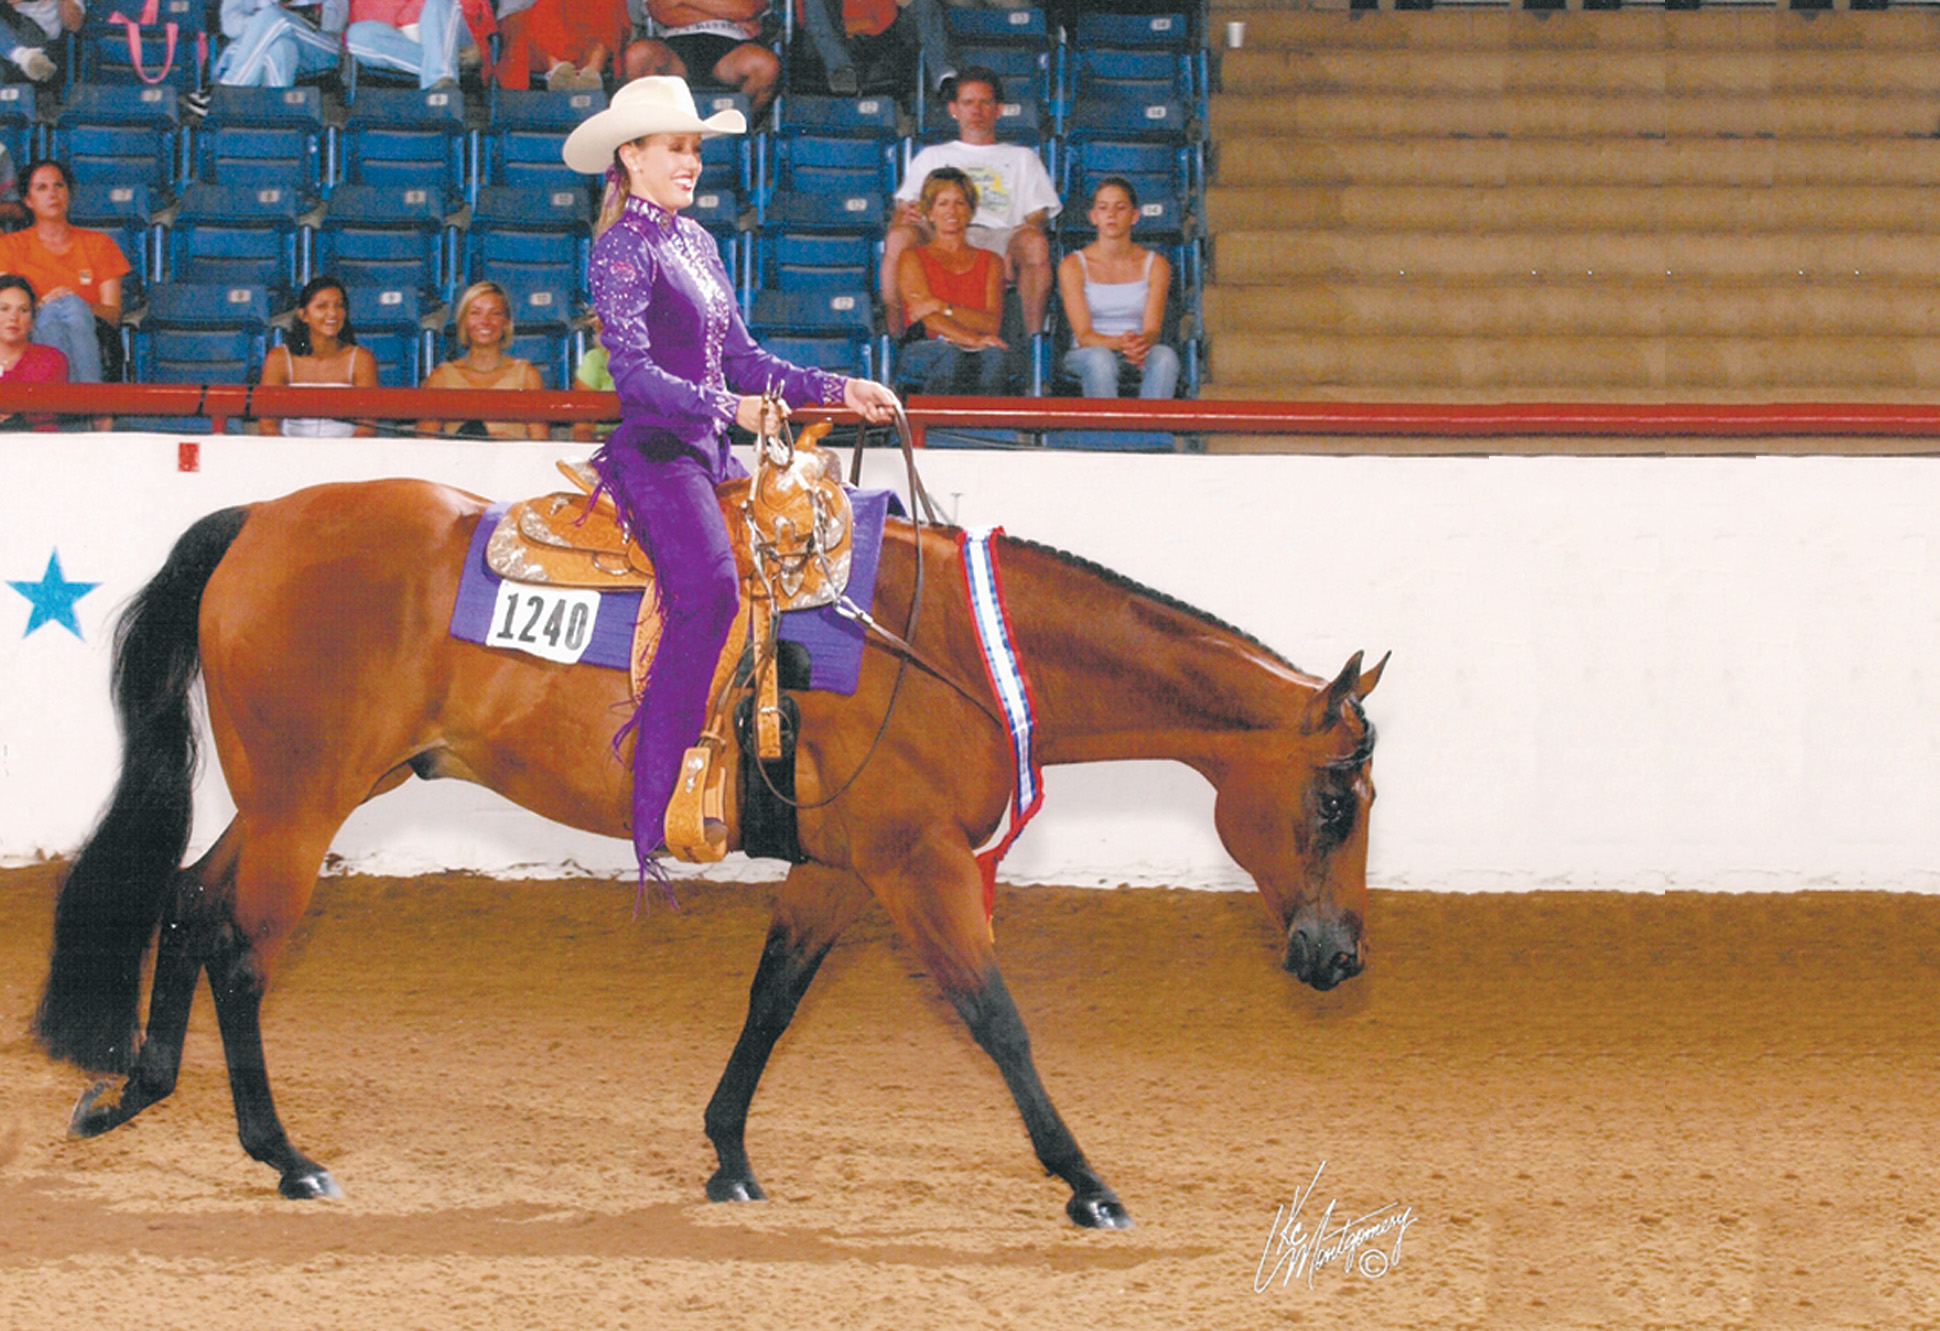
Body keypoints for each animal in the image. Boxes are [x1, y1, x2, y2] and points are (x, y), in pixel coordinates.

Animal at [33, 477, 1385, 1229]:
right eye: (1334, 799)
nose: (1338, 956)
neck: (943, 645)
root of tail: (258, 521)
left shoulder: (838, 869)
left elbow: (771, 997)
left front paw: (729, 1154)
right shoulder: (917, 864)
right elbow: (995, 1018)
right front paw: (1084, 1180)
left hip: (297, 795)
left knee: (188, 902)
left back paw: (136, 1089)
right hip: (305, 805)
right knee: (241, 949)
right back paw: (284, 1156)